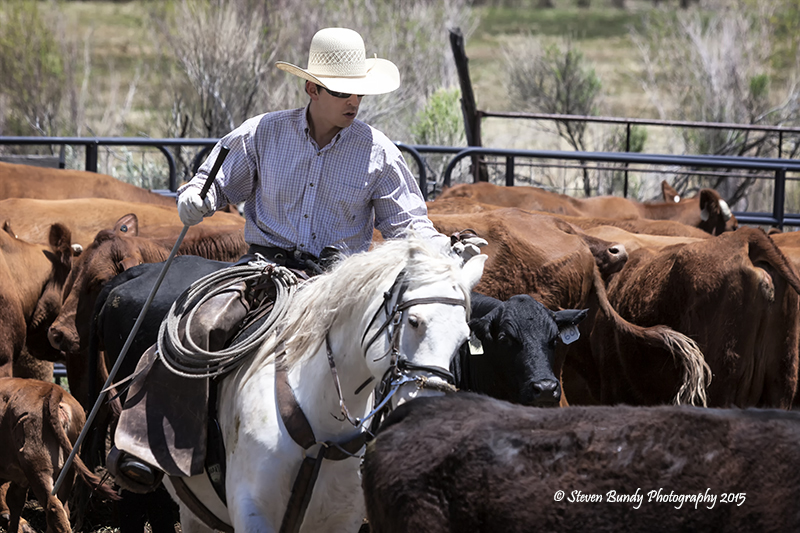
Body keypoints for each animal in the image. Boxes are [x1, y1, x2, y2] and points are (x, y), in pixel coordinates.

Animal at [0, 377, 119, 533]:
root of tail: (52, 389)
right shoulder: (20, 479)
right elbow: (14, 501)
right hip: (67, 469)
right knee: (62, 509)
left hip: (38, 469)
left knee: (54, 509)